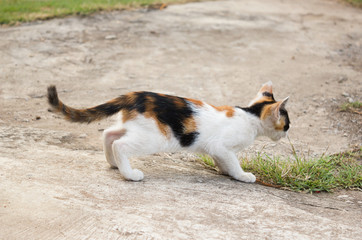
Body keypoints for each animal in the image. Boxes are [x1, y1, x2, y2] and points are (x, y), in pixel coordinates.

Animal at [46, 81, 290, 183]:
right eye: (287, 123)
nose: (287, 132)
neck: (251, 116)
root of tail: (136, 95)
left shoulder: (216, 149)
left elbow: (222, 160)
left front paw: (224, 171)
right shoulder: (221, 146)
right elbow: (232, 160)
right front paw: (242, 175)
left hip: (133, 126)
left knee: (108, 134)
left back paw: (114, 163)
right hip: (155, 137)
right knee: (120, 144)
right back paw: (129, 174)